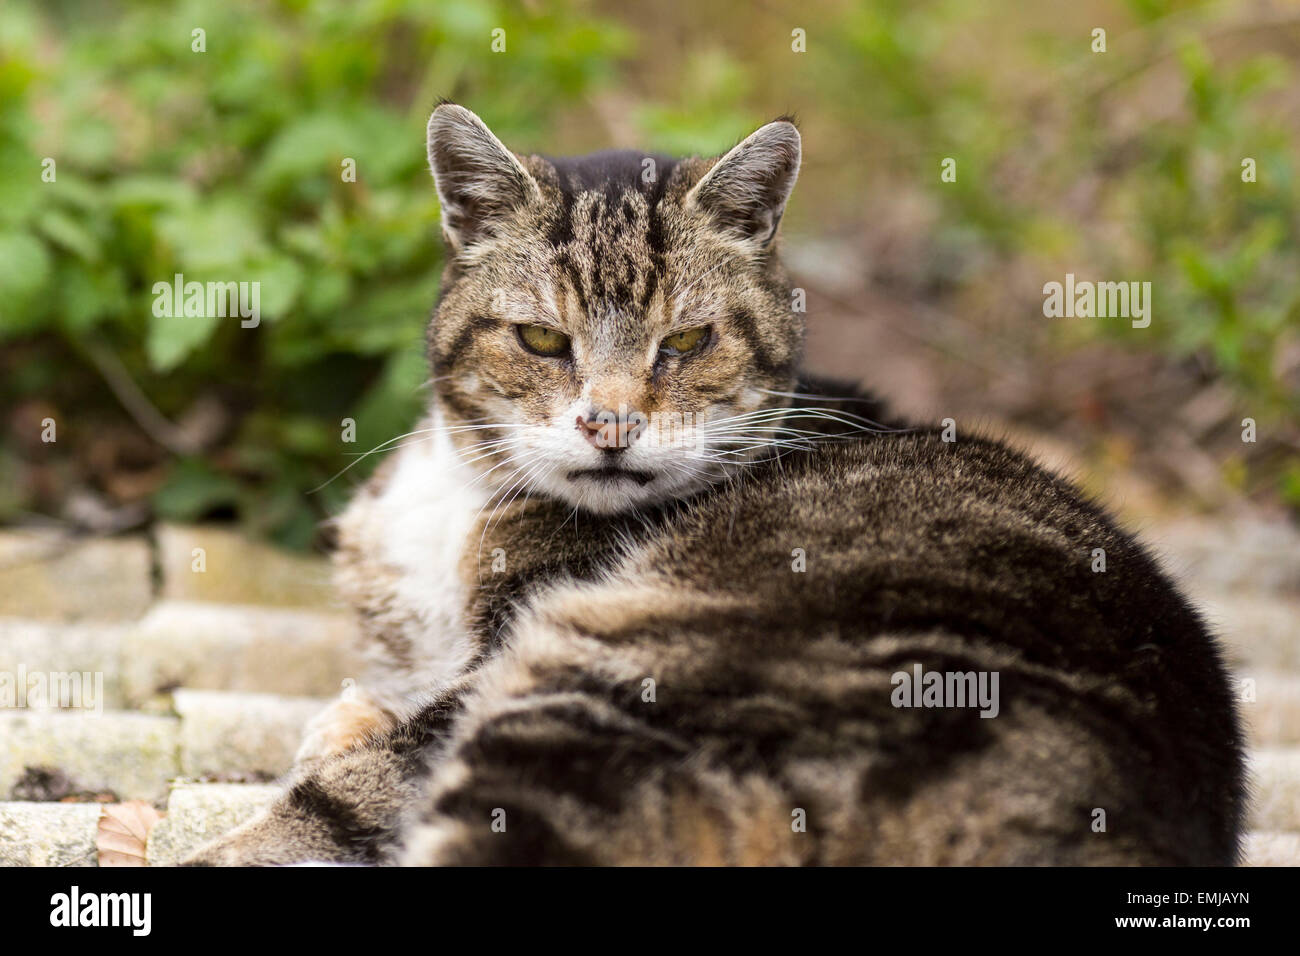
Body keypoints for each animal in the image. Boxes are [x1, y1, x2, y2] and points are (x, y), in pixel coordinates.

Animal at [185, 104, 1248, 868]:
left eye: (688, 341)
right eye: (541, 339)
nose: (612, 425)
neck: (464, 481)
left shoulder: (493, 671)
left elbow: (345, 787)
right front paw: (345, 715)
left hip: (592, 687)